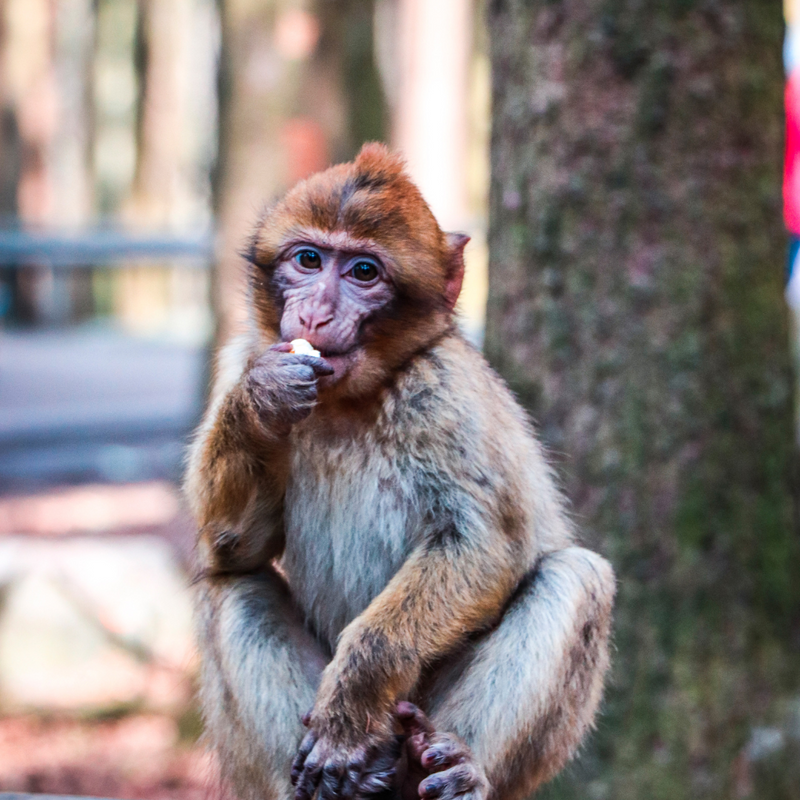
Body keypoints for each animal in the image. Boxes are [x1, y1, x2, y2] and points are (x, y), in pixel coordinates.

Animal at [184, 142, 616, 800]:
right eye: (308, 260)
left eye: (364, 272)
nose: (315, 313)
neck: (348, 400)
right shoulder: (243, 354)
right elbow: (235, 545)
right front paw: (263, 400)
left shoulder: (444, 388)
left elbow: (482, 543)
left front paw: (348, 712)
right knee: (231, 587)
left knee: (576, 579)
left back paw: (455, 770)